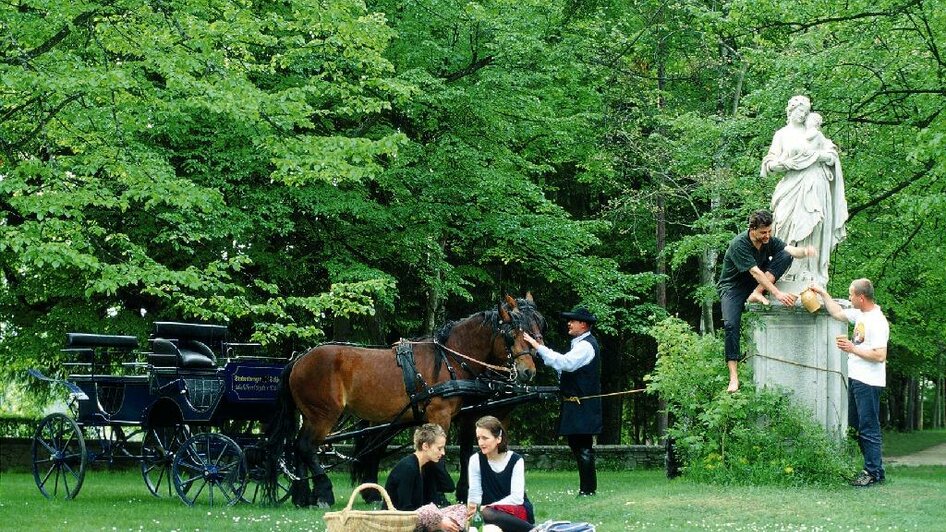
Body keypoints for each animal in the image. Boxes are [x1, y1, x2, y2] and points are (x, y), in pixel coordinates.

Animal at [266, 296, 544, 508]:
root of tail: (299, 359)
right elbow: (440, 455)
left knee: (298, 447)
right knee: (306, 447)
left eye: (535, 329)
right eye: (511, 334)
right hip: (323, 414)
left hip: (315, 415)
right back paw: (324, 492)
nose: (528, 371)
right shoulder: (441, 414)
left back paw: (304, 495)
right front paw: (442, 496)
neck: (449, 359)